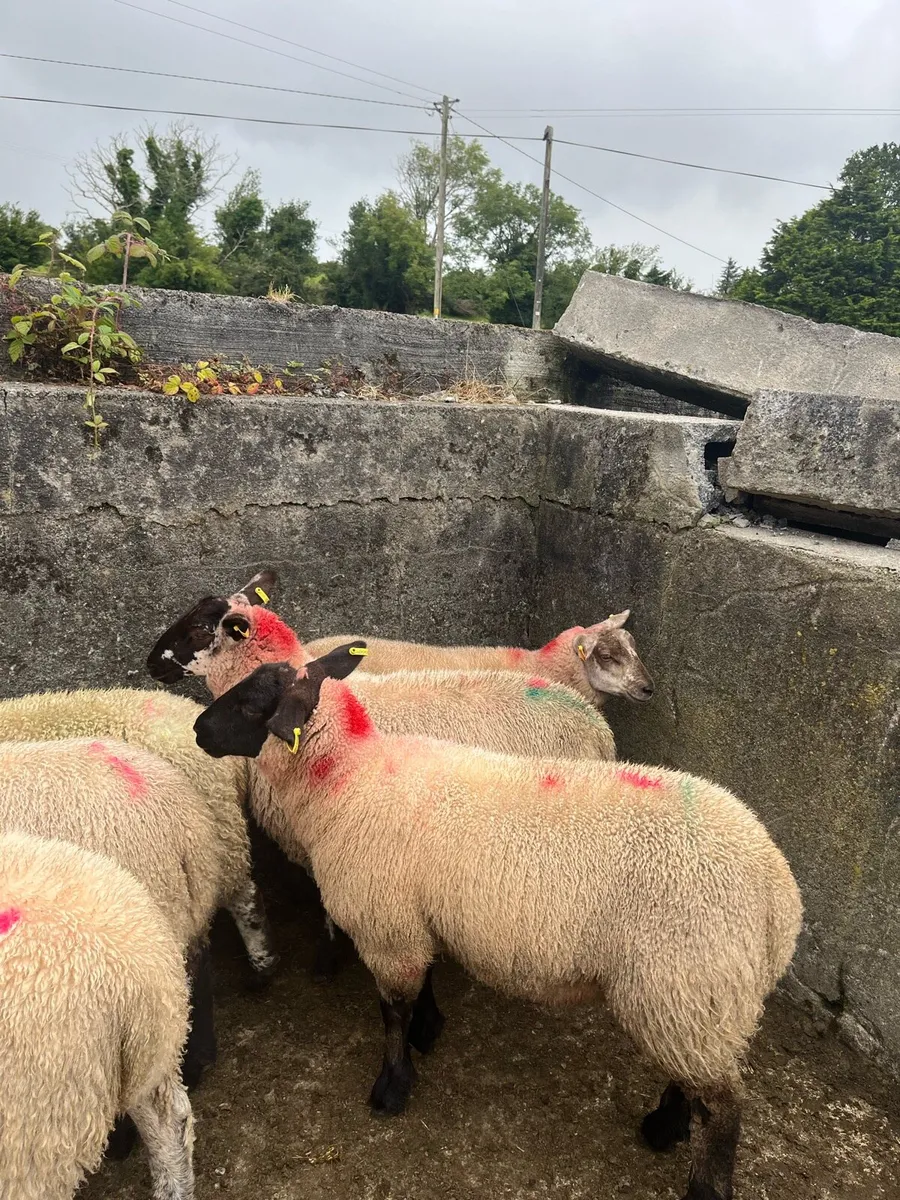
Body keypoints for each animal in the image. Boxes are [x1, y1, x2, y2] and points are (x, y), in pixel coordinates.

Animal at [193, 648, 803, 1200]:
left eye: (250, 703)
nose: (198, 729)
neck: (348, 774)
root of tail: (780, 896)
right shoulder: (415, 915)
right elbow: (425, 982)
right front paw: (429, 1031)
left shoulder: (386, 924)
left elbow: (392, 1012)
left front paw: (392, 1087)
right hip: (690, 996)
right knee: (694, 1078)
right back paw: (664, 1126)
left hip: (684, 977)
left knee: (723, 1109)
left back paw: (699, 1178)